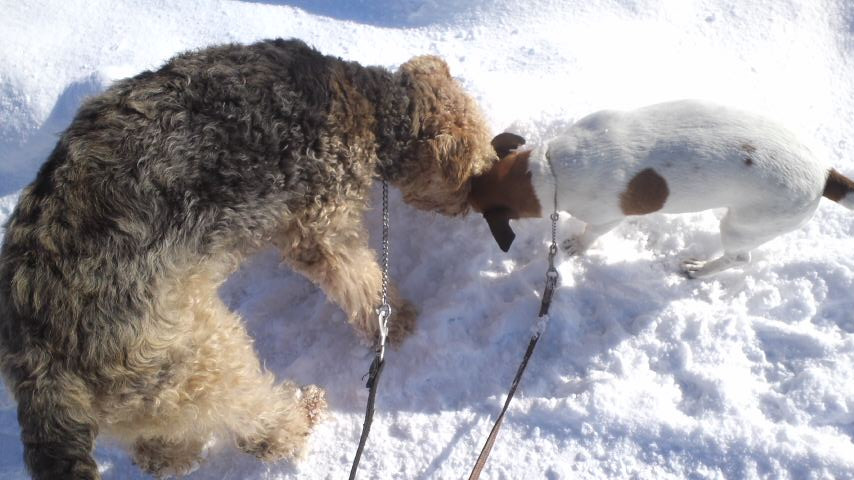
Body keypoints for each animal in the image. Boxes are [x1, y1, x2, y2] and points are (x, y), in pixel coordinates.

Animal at [0, 39, 496, 479]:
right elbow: (360, 280)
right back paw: (302, 409)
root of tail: (38, 367)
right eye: (474, 169)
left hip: (158, 387)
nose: (482, 195)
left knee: (157, 448)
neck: (368, 106)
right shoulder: (321, 226)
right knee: (258, 427)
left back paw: (177, 453)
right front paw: (397, 320)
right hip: (205, 351)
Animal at [469, 100, 854, 277]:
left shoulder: (606, 217)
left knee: (739, 257)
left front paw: (577, 244)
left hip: (745, 225)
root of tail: (824, 173)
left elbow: (591, 233)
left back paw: (700, 270)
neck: (550, 169)